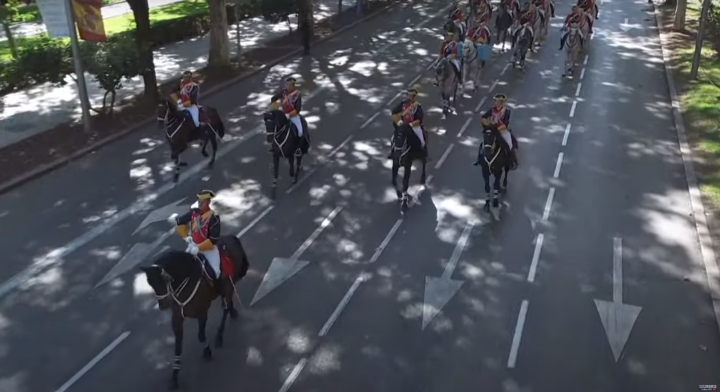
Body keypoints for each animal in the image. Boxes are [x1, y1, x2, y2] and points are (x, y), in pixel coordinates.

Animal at [140, 234, 250, 390]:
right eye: (150, 283)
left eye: (164, 280)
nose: (163, 305)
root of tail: (231, 237)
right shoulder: (177, 319)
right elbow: (178, 347)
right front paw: (174, 377)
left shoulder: (202, 312)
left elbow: (201, 336)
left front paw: (207, 352)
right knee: (227, 303)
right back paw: (232, 312)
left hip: (228, 284)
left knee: (225, 306)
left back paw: (219, 335)